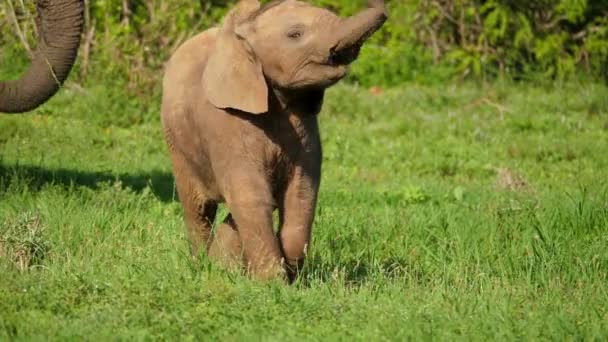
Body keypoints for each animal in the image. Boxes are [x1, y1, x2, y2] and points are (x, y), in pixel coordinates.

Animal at [162, 0, 388, 284]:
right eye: (295, 34)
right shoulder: (225, 122)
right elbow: (251, 195)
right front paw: (272, 283)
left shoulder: (305, 127)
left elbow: (301, 193)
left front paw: (292, 276)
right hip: (177, 144)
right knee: (198, 208)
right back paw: (203, 266)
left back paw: (224, 265)